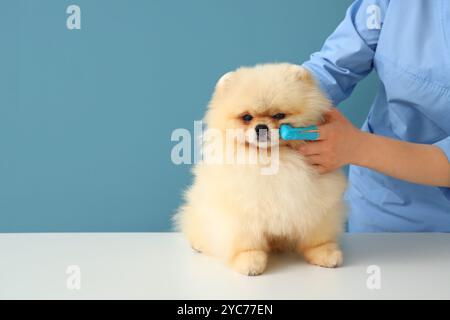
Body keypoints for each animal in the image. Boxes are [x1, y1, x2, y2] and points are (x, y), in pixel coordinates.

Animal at [174, 63, 346, 276]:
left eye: (279, 116)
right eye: (247, 117)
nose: (261, 127)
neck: (272, 158)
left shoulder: (315, 204)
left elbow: (318, 236)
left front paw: (324, 252)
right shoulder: (241, 212)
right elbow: (246, 241)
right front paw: (249, 260)